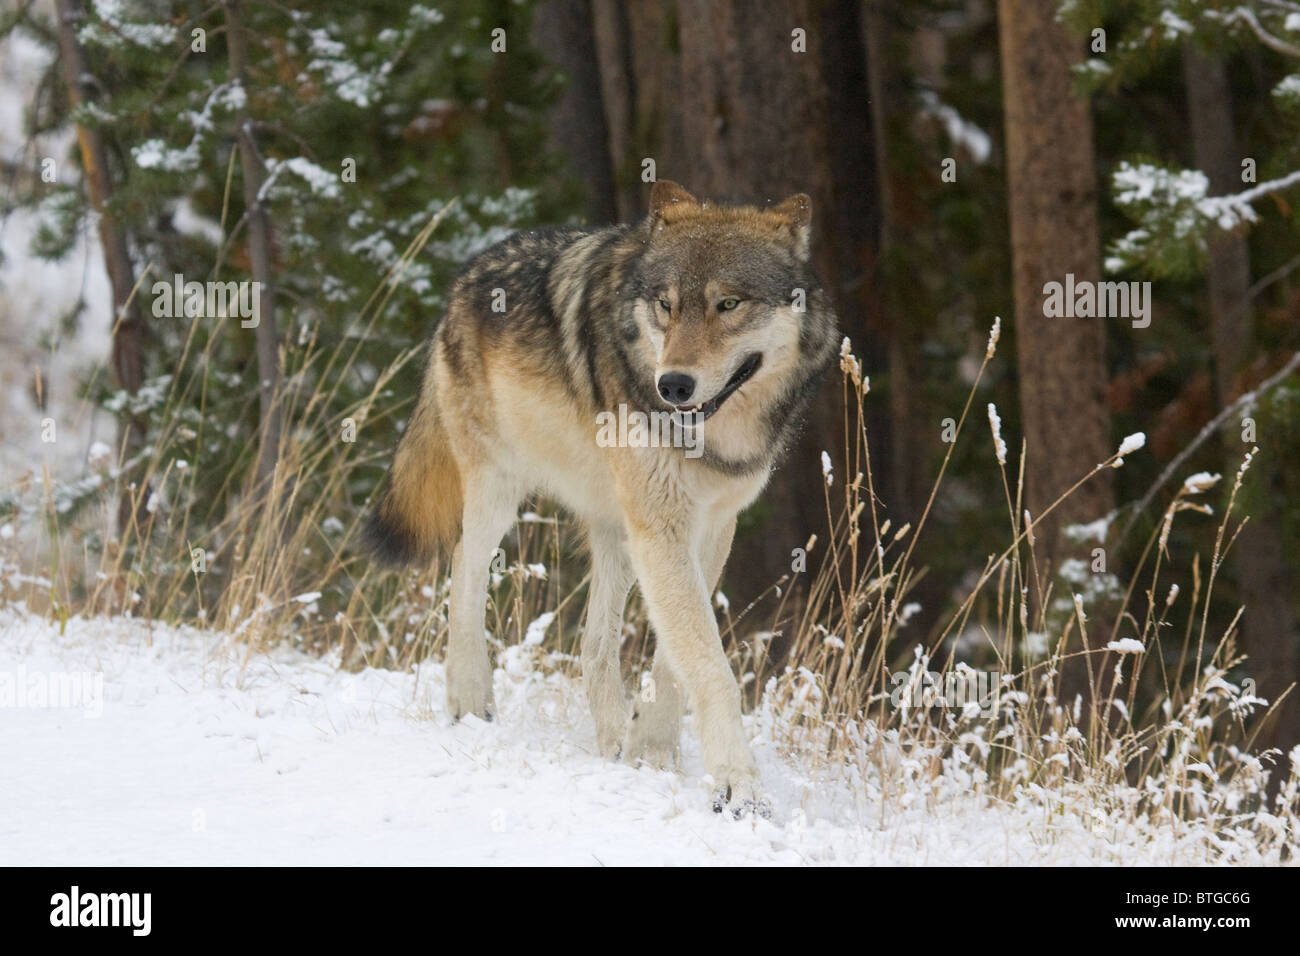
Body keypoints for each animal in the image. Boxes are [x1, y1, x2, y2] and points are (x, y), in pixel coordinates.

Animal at [366, 179, 837, 816]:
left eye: (728, 305)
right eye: (665, 304)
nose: (673, 385)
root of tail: (462, 280)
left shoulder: (713, 524)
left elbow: (673, 659)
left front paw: (652, 751)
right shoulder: (662, 525)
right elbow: (710, 666)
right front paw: (739, 788)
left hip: (615, 527)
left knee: (594, 644)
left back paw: (614, 737)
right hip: (499, 491)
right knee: (464, 568)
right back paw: (470, 699)